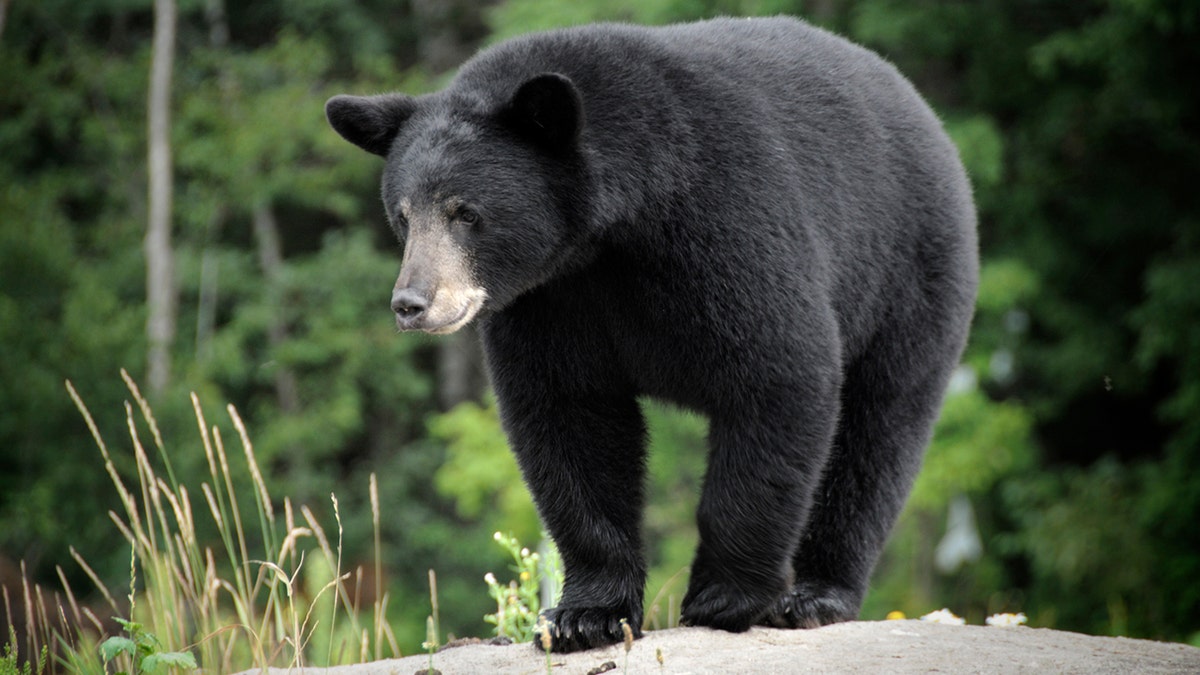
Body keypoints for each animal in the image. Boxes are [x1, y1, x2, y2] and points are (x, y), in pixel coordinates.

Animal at [326, 17, 974, 653]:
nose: (411, 303)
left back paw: (816, 595)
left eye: (465, 212)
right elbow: (568, 417)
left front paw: (724, 598)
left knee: (877, 435)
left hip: (908, 276)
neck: (613, 232)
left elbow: (779, 372)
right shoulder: (551, 300)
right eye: (403, 215)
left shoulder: (728, 220)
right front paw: (585, 615)